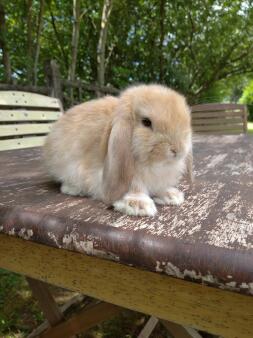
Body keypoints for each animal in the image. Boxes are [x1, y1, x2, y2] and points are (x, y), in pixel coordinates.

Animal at [43, 84, 193, 217]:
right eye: (146, 122)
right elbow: (134, 188)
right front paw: (138, 205)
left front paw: (172, 196)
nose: (178, 149)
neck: (157, 165)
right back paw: (75, 190)